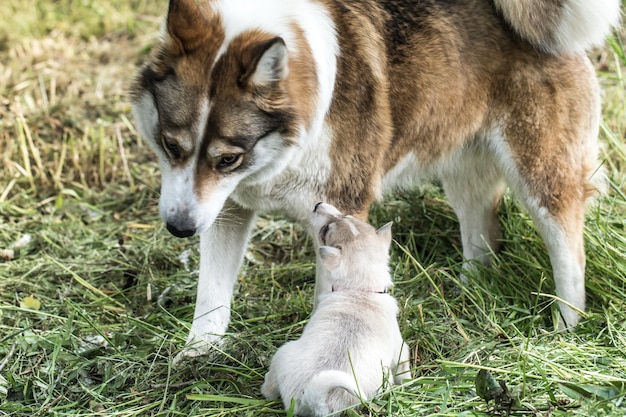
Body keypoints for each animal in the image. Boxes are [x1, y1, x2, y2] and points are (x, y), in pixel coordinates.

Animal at [130, 0, 620, 358]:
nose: (179, 229)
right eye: (171, 146)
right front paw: (198, 354)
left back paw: (564, 328)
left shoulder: (338, 212)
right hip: (463, 173)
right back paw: (465, 294)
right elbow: (211, 292)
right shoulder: (225, 207)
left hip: (541, 178)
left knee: (570, 253)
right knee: (482, 239)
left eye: (228, 158)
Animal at [260, 201, 410, 412]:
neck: (360, 291)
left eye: (325, 231)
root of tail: (314, 400)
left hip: (283, 353)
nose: (318, 204)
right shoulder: (401, 349)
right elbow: (405, 373)